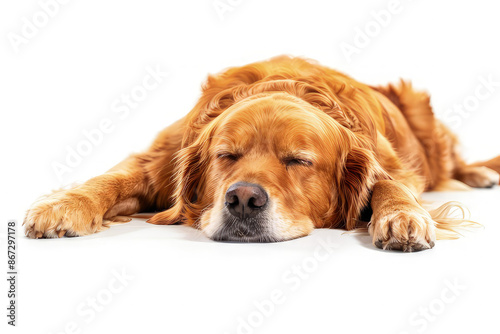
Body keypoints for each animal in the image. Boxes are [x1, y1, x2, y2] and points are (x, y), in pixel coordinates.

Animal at [24, 56, 500, 250]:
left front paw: (402, 217)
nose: (242, 199)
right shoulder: (162, 155)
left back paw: (482, 174)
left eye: (299, 161)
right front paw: (63, 206)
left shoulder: (390, 165)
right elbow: (113, 177)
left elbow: (390, 186)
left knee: (456, 164)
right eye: (226, 155)